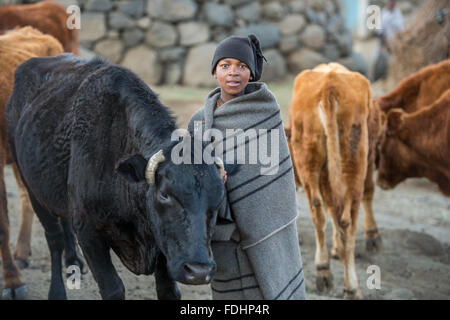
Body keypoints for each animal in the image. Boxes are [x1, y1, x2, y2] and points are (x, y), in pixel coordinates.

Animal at [284, 63, 380, 300]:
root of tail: (329, 85)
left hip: (309, 162)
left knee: (318, 212)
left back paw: (323, 271)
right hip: (355, 165)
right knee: (348, 221)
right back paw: (352, 287)